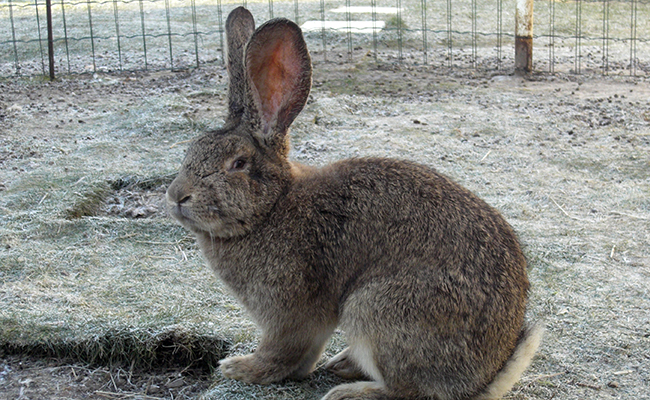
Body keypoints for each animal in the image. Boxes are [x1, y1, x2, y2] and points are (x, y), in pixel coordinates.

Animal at [165, 7, 540, 400]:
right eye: (191, 151)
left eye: (237, 164)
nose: (176, 196)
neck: (271, 208)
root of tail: (483, 379)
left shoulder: (289, 310)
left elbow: (281, 351)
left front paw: (240, 368)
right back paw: (343, 364)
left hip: (375, 310)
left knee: (411, 390)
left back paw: (349, 391)